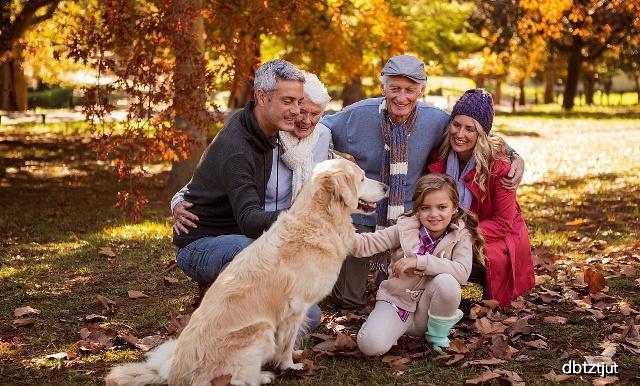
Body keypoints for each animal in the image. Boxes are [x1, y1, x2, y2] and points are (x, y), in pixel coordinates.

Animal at [106, 158, 384, 384]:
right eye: (361, 178)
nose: (385, 187)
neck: (319, 220)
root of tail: (174, 375)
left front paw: (294, 355)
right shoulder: (296, 308)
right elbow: (286, 343)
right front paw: (290, 366)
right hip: (261, 330)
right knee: (237, 379)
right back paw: (264, 375)